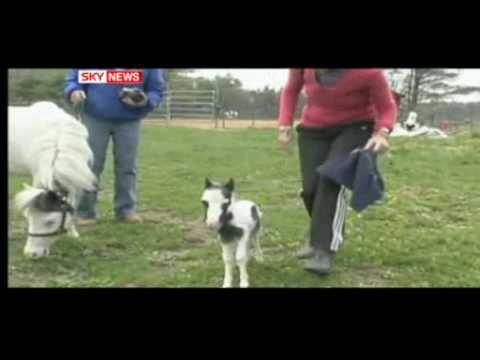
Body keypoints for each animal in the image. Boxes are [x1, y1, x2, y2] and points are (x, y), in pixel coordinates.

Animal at [8, 101, 96, 258]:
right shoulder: (39, 173)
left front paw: (73, 234)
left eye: (50, 222)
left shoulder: (74, 180)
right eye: (28, 217)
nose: (31, 254)